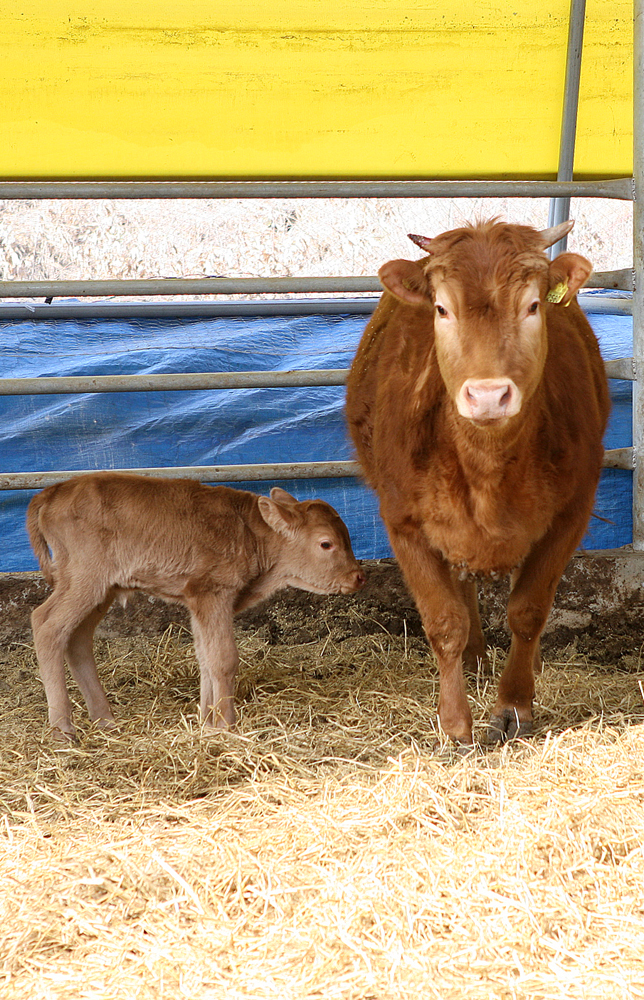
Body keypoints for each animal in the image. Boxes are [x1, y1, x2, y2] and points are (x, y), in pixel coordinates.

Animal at [27, 472, 364, 740]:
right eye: (326, 543)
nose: (358, 577)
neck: (249, 533)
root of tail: (53, 490)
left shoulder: (197, 600)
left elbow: (205, 655)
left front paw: (207, 721)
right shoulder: (212, 591)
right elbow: (224, 658)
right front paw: (227, 724)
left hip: (101, 589)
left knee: (77, 639)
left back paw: (106, 721)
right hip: (84, 579)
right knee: (46, 625)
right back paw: (63, 730)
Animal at [348, 221, 608, 752]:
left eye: (533, 305)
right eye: (442, 309)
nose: (488, 395)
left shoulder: (571, 512)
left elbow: (528, 609)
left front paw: (514, 706)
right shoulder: (403, 520)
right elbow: (444, 620)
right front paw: (454, 722)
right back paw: (473, 658)